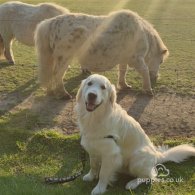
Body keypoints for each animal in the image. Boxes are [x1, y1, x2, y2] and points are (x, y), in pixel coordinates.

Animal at [35, 9, 169, 98]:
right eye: (161, 61)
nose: (155, 77)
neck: (141, 33)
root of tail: (50, 23)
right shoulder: (136, 59)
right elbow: (144, 71)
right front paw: (148, 90)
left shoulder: (124, 59)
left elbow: (123, 71)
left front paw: (124, 85)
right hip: (64, 58)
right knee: (57, 74)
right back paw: (63, 94)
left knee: (51, 74)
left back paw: (50, 91)